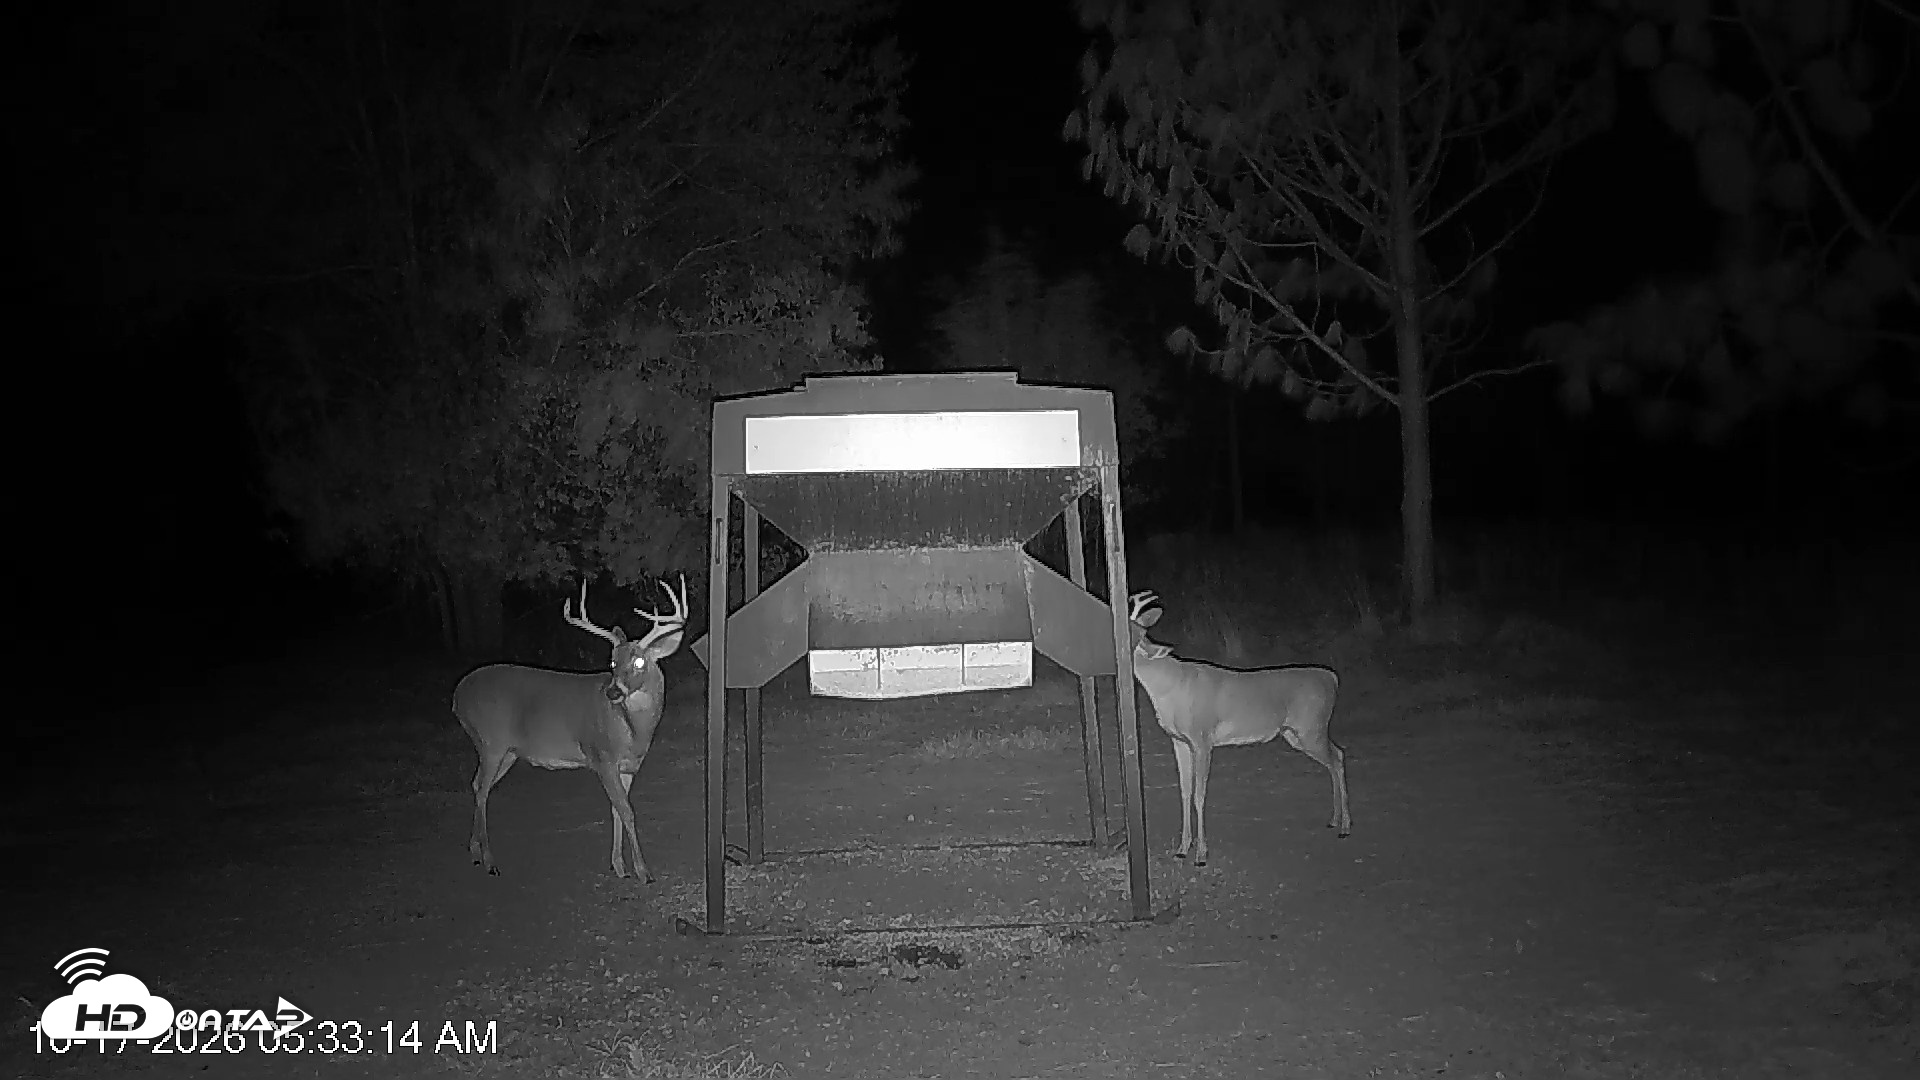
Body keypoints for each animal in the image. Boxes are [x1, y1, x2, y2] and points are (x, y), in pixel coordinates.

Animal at [452, 576, 688, 882]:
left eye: (638, 661)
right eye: (613, 662)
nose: (613, 691)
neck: (631, 730)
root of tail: (457, 697)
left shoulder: (628, 767)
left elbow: (616, 809)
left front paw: (619, 866)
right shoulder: (601, 757)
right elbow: (627, 811)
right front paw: (642, 871)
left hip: (506, 751)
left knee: (477, 784)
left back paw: (474, 852)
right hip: (491, 741)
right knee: (482, 790)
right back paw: (490, 861)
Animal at [1125, 590, 1350, 866]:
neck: (1168, 689)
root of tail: (1332, 678)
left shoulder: (1202, 738)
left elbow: (1199, 795)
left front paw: (1201, 855)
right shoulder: (1178, 740)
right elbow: (1185, 792)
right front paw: (1181, 849)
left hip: (1311, 727)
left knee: (1338, 756)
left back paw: (1345, 826)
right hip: (1296, 734)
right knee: (1334, 757)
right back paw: (1334, 820)